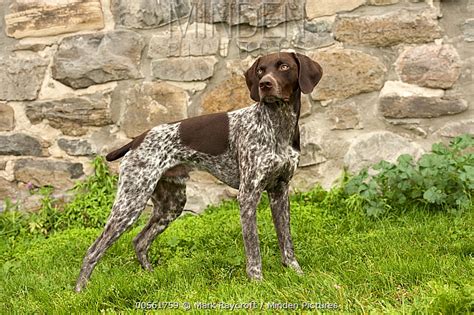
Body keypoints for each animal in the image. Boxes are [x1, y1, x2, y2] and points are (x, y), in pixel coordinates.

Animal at [75, 52, 322, 294]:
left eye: (284, 67)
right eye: (261, 70)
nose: (265, 85)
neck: (278, 126)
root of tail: (136, 140)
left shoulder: (280, 191)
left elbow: (286, 242)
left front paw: (296, 273)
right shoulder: (248, 195)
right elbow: (253, 248)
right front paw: (257, 282)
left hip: (170, 205)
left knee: (139, 241)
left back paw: (151, 278)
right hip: (130, 202)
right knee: (93, 250)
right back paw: (79, 291)